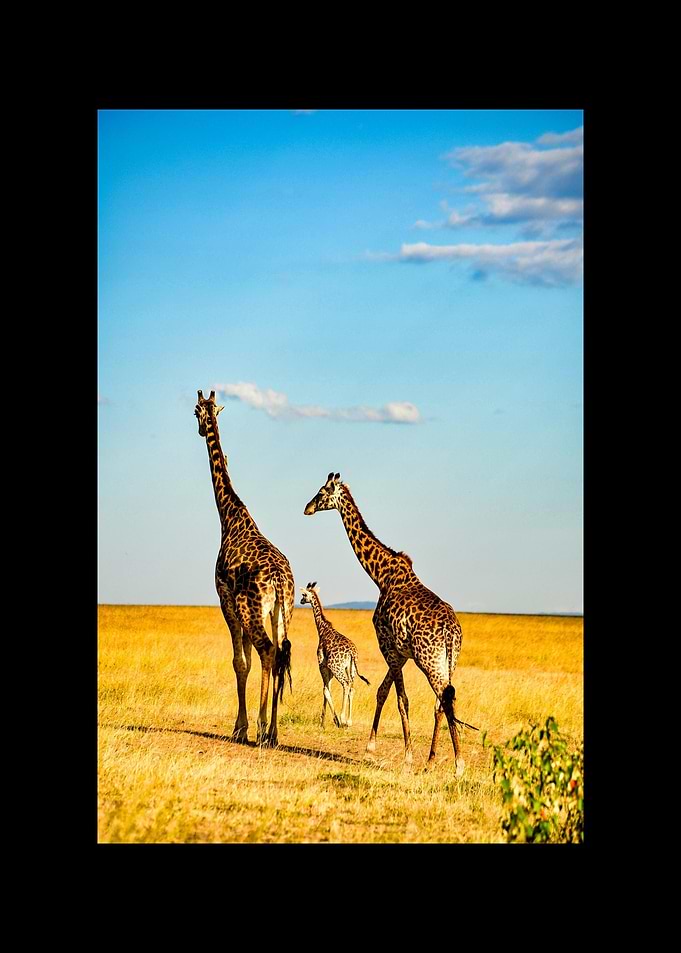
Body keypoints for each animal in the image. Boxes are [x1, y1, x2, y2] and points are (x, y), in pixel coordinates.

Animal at [194, 390, 295, 746]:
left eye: (195, 411)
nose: (201, 429)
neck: (229, 516)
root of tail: (279, 581)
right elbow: (248, 661)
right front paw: (245, 725)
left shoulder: (225, 600)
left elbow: (240, 662)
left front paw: (240, 727)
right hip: (281, 613)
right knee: (280, 654)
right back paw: (274, 731)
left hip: (251, 610)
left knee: (268, 651)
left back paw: (264, 729)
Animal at [300, 582, 370, 729]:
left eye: (304, 594)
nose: (301, 601)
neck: (322, 629)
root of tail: (352, 653)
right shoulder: (329, 669)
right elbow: (328, 689)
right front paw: (324, 721)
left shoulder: (322, 664)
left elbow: (325, 690)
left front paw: (333, 720)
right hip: (351, 669)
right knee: (352, 688)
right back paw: (349, 721)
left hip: (337, 668)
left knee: (346, 685)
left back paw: (343, 719)